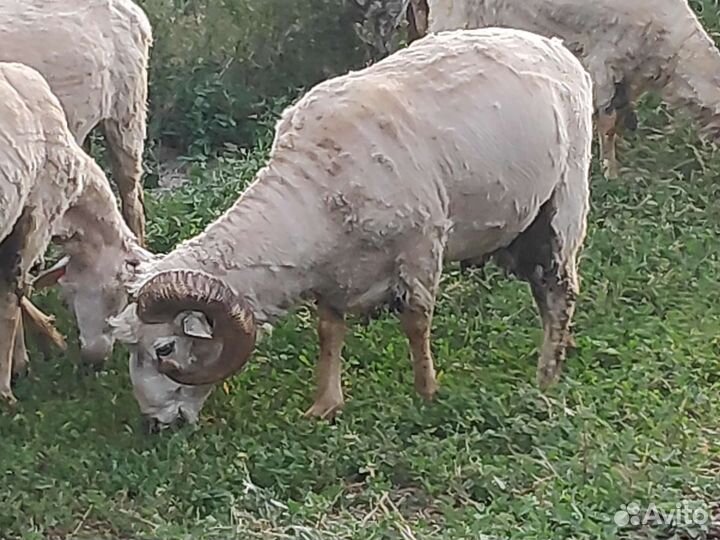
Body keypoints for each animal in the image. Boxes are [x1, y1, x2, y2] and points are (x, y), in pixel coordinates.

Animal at [108, 27, 593, 430]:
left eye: (164, 349)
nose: (156, 424)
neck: (313, 195)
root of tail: (552, 45)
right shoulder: (333, 272)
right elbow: (329, 331)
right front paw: (325, 405)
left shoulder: (420, 248)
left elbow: (416, 323)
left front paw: (427, 393)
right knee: (543, 288)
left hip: (565, 200)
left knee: (561, 290)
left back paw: (546, 377)